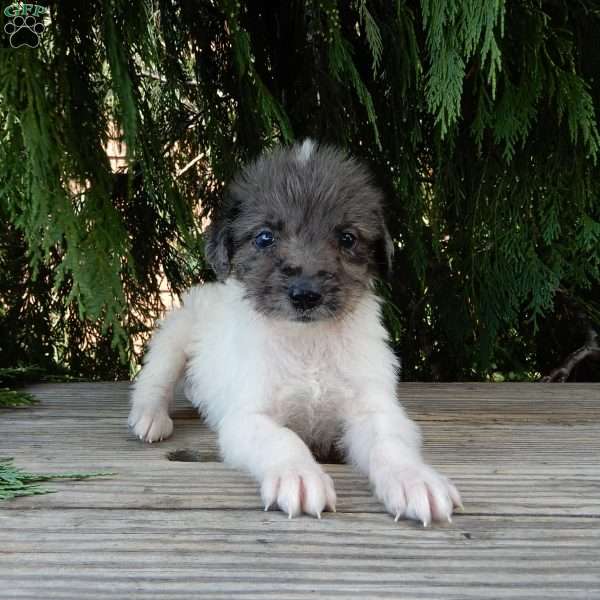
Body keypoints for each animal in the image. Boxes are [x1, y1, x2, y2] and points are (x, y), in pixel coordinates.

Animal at [129, 141, 462, 524]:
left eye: (347, 238)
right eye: (265, 237)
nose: (305, 294)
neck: (308, 342)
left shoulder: (373, 409)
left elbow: (390, 444)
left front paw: (415, 480)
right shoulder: (248, 417)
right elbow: (284, 440)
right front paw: (299, 475)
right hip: (176, 335)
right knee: (154, 379)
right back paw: (150, 417)